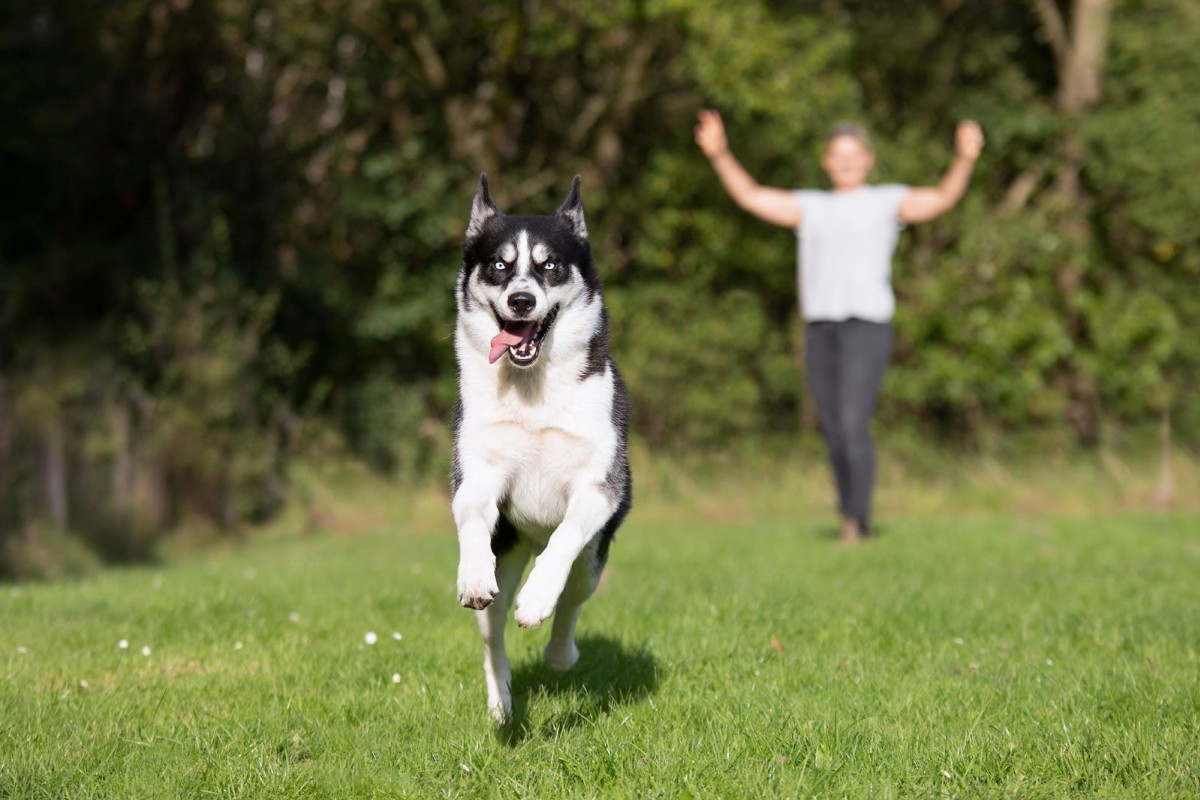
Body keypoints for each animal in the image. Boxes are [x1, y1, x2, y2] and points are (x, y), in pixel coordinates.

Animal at [451, 172, 633, 724]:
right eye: (498, 265)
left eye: (549, 265)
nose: (521, 301)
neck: (532, 390)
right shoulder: (476, 473)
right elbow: (472, 517)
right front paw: (472, 575)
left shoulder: (599, 487)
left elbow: (566, 537)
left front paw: (536, 601)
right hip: (507, 550)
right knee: (492, 636)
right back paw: (501, 701)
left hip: (595, 560)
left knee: (572, 597)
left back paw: (559, 652)